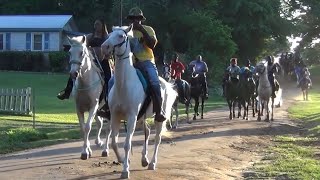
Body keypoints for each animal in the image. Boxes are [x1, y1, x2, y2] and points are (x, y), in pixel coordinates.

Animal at [100, 25, 178, 179]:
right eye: (109, 35)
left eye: (121, 36)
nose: (104, 47)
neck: (123, 86)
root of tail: (166, 84)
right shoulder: (115, 116)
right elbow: (114, 142)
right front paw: (122, 160)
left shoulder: (131, 117)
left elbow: (127, 144)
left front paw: (125, 170)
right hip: (141, 118)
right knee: (147, 131)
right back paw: (144, 159)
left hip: (158, 118)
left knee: (157, 138)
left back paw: (152, 163)